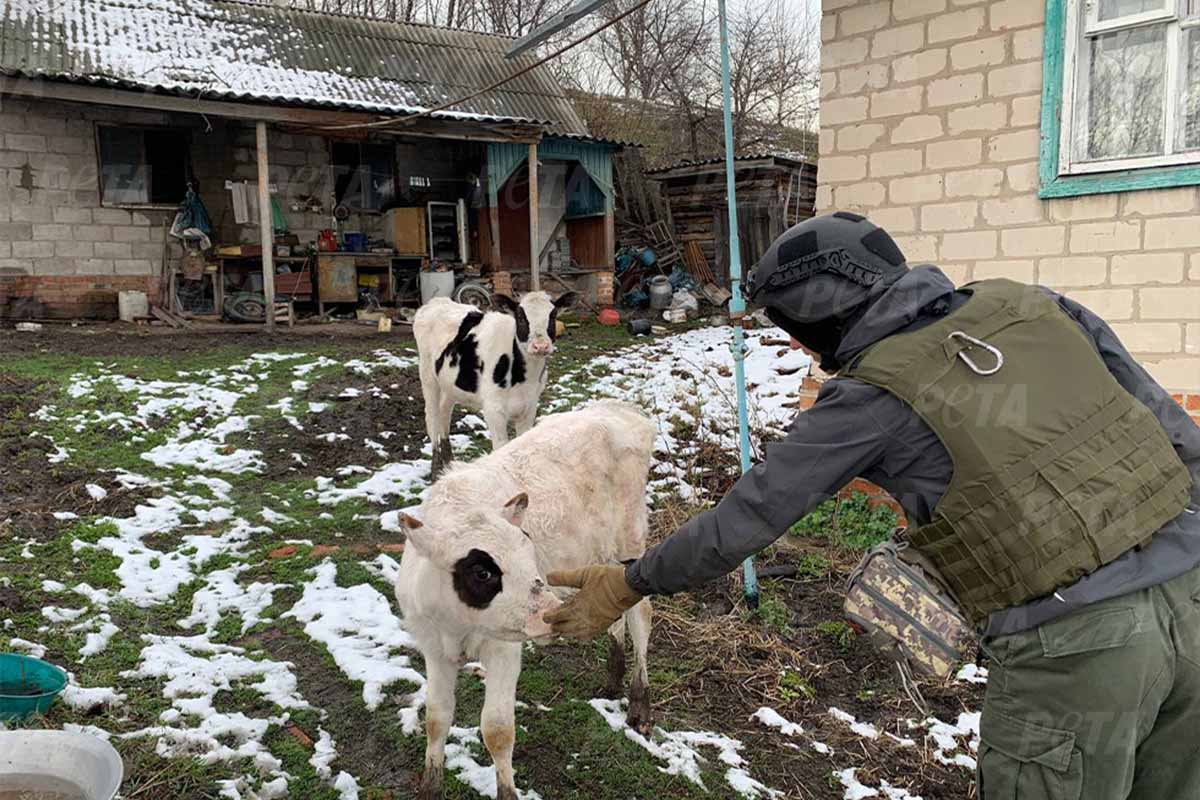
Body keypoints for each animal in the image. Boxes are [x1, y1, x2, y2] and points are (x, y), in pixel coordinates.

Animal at [393, 402, 657, 800]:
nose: (549, 611)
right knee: (616, 605)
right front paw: (430, 785)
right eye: (482, 572)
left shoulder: (504, 649)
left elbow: (497, 729)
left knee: (641, 611)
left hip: (630, 538)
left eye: (527, 546)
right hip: (603, 553)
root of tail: (616, 410)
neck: (459, 626)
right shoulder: (433, 648)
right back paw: (613, 676)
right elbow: (437, 717)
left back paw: (639, 702)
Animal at [412, 293, 576, 482]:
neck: (524, 378)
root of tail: (437, 301)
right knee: (432, 417)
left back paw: (448, 464)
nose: (540, 346)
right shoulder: (493, 410)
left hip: (450, 381)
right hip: (427, 375)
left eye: (553, 315)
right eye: (521, 317)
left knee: (444, 411)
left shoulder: (530, 407)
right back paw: (435, 470)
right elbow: (501, 447)